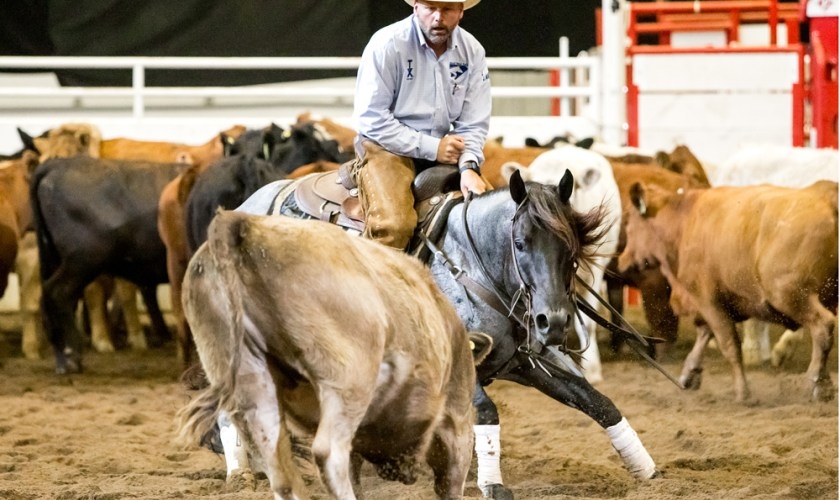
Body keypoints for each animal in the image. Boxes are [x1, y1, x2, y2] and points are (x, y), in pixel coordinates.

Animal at [221, 167, 660, 498]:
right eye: (520, 242)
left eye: (570, 249)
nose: (552, 322)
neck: (474, 268)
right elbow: (487, 413)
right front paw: (492, 484)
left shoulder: (526, 361)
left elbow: (599, 402)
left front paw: (647, 472)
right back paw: (241, 473)